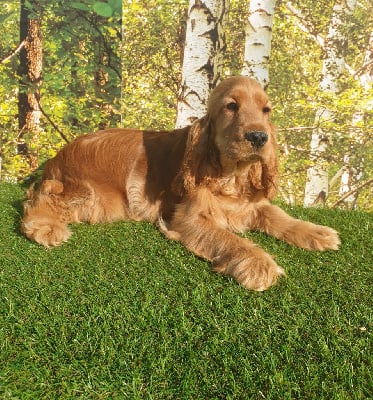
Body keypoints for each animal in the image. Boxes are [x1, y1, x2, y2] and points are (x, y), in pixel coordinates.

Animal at [21, 76, 338, 290]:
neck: (230, 175)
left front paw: (317, 232)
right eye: (231, 106)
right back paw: (46, 227)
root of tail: (59, 155)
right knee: (42, 198)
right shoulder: (190, 217)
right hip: (90, 195)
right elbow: (231, 239)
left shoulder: (252, 204)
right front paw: (259, 263)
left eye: (266, 110)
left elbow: (281, 216)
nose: (260, 137)